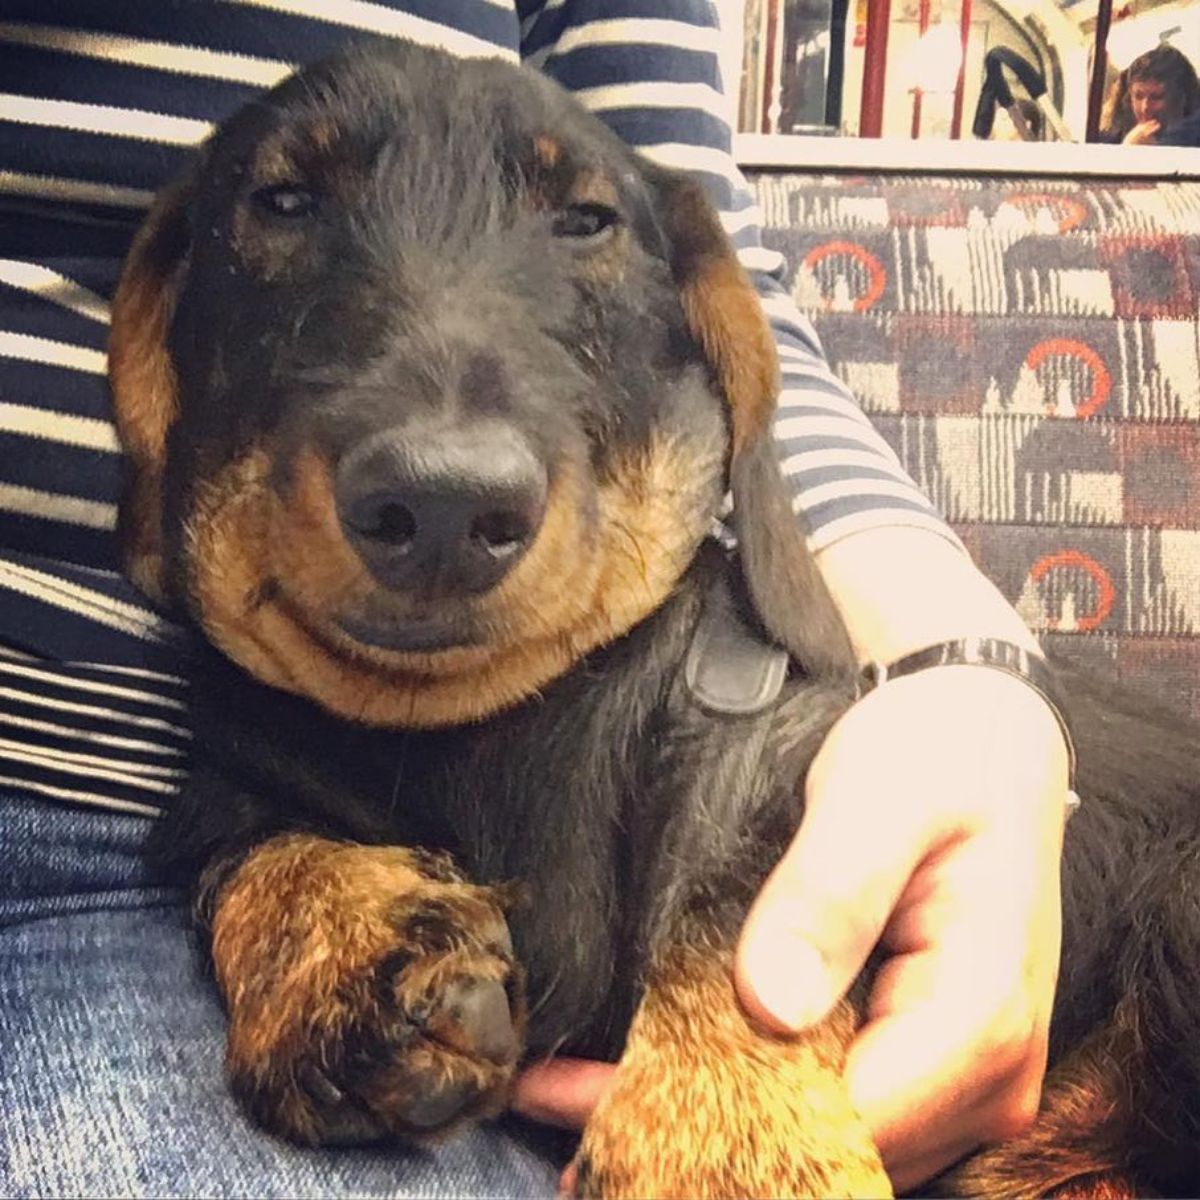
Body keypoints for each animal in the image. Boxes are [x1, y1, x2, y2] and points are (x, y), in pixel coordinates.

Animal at [108, 39, 1200, 1200]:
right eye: (281, 201)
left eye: (588, 220)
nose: (443, 503)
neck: (477, 723)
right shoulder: (243, 775)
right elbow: (247, 834)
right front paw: (348, 947)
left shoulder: (776, 754)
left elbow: (728, 891)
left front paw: (724, 1139)